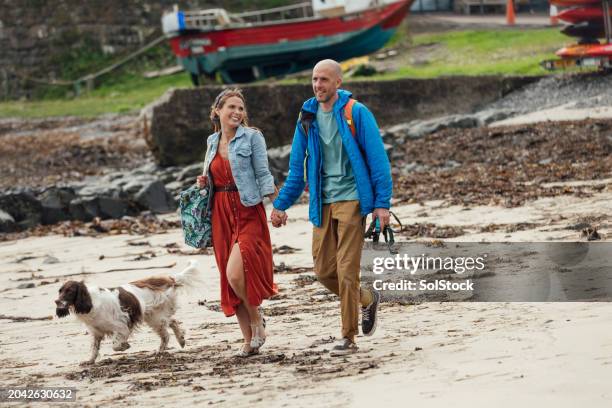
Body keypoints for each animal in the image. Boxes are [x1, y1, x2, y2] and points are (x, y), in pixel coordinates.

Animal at [55, 260, 203, 364]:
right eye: (60, 291)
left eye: (70, 291)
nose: (56, 301)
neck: (91, 302)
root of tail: (168, 279)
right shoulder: (97, 332)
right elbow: (94, 349)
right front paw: (90, 361)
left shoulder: (121, 326)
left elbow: (115, 345)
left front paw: (125, 346)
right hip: (154, 317)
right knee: (171, 324)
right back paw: (176, 343)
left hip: (156, 317)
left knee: (167, 330)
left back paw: (166, 348)